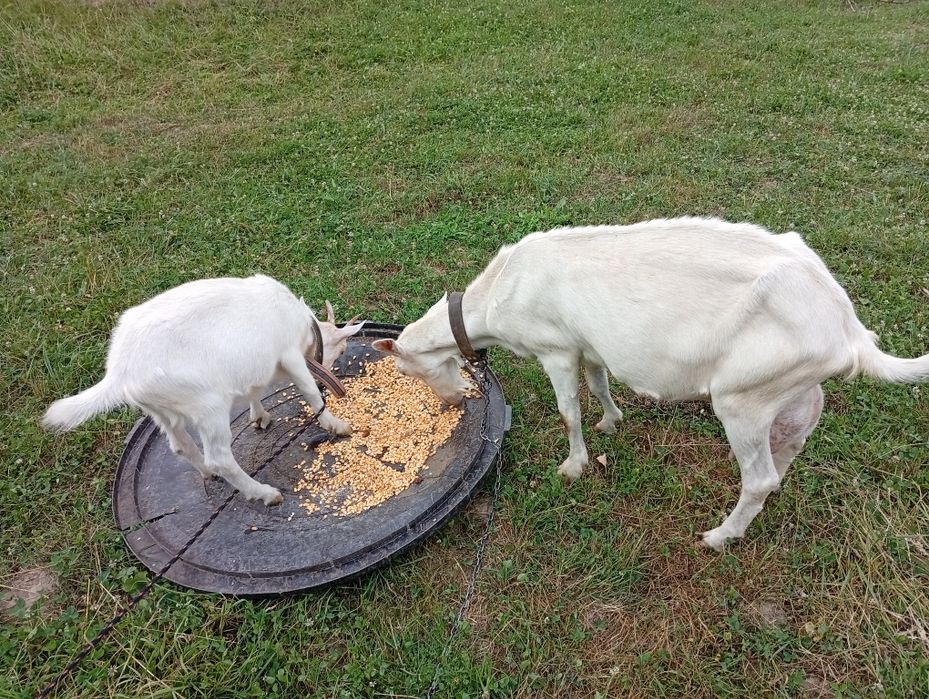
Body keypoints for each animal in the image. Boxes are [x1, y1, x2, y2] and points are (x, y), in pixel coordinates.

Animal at [43, 274, 364, 505]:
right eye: (342, 348)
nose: (329, 379)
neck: (303, 325)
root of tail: (120, 372)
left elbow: (254, 390)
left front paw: (259, 417)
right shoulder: (289, 355)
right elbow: (308, 389)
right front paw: (336, 424)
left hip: (161, 409)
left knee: (179, 445)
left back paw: (208, 473)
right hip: (207, 406)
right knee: (219, 456)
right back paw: (265, 493)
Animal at [372, 217, 929, 549]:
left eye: (406, 371)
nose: (453, 401)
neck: (495, 296)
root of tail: (849, 332)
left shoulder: (555, 348)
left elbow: (567, 410)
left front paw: (573, 466)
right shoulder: (587, 344)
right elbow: (597, 385)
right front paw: (611, 422)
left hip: (743, 396)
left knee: (759, 475)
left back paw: (719, 536)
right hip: (790, 385)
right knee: (792, 439)